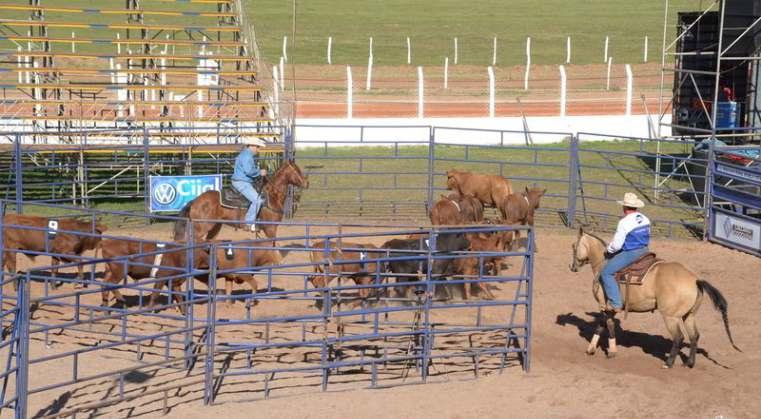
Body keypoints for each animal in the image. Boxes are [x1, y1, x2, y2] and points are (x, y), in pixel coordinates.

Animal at [174, 159, 308, 243]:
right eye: (296, 170)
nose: (307, 183)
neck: (272, 195)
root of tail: (195, 201)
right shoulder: (270, 229)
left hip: (215, 227)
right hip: (200, 228)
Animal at [568, 228, 740, 370]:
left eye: (573, 246)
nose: (572, 267)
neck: (602, 264)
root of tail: (695, 280)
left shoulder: (604, 305)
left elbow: (604, 325)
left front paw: (601, 351)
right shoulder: (611, 308)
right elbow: (605, 325)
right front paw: (601, 350)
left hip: (670, 317)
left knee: (679, 337)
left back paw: (668, 363)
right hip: (688, 315)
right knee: (694, 336)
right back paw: (689, 363)